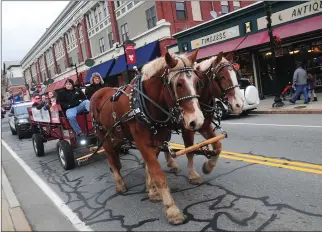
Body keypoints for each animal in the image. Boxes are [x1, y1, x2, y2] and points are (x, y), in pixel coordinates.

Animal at [89, 49, 204, 224]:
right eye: (179, 84)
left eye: (197, 83)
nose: (196, 121)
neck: (145, 103)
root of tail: (97, 92)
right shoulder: (143, 142)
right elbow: (158, 173)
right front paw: (172, 209)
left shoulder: (156, 141)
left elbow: (150, 167)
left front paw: (153, 192)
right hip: (104, 135)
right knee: (111, 157)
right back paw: (119, 184)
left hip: (118, 136)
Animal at [164, 51, 244, 184]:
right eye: (222, 77)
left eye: (236, 74)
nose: (239, 105)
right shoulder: (187, 129)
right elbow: (190, 150)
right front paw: (193, 175)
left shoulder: (205, 126)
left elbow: (218, 146)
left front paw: (208, 167)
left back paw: (171, 164)